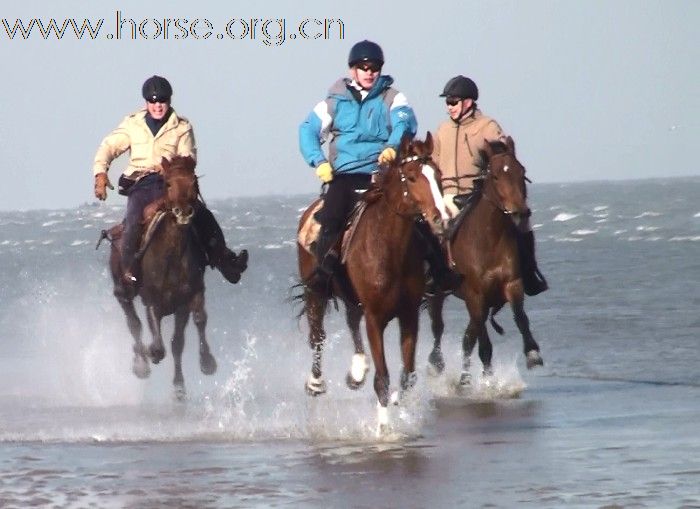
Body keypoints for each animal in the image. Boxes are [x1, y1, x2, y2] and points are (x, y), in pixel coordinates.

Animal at [106, 155, 216, 396]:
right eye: (168, 183)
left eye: (194, 182)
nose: (183, 212)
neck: (171, 258)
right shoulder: (152, 302)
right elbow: (157, 344)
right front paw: (151, 354)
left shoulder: (187, 299)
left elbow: (184, 336)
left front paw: (203, 366)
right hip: (123, 291)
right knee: (134, 323)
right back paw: (141, 364)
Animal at [296, 133, 448, 430]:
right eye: (411, 177)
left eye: (437, 174)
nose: (440, 219)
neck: (388, 249)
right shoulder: (375, 319)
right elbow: (383, 377)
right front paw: (384, 428)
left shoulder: (409, 315)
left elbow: (408, 374)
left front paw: (400, 406)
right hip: (314, 290)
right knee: (317, 335)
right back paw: (316, 382)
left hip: (351, 297)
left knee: (352, 321)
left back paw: (357, 370)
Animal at [424, 137, 544, 386]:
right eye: (496, 176)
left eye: (521, 172)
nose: (520, 213)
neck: (490, 238)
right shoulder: (475, 295)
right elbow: (483, 342)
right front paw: (489, 380)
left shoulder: (511, 284)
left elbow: (520, 317)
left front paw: (532, 353)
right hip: (437, 294)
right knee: (438, 328)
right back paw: (436, 364)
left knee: (467, 338)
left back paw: (463, 379)